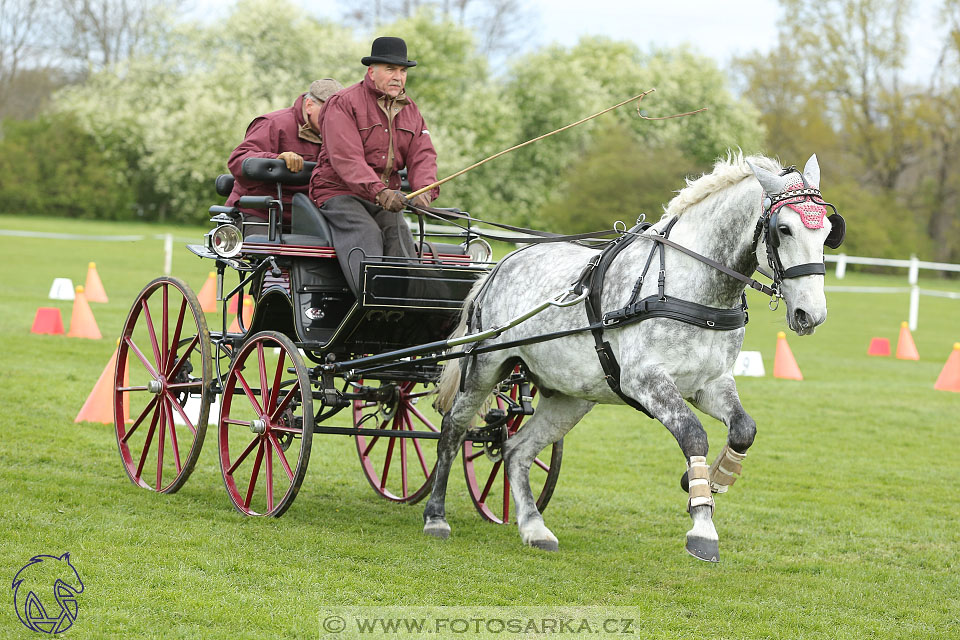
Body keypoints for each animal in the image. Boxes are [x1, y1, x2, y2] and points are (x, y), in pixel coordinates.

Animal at [424, 154, 836, 560]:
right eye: (784, 229)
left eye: (829, 230)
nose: (811, 315)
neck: (690, 286)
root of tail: (498, 268)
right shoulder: (645, 380)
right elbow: (693, 435)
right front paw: (702, 527)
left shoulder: (711, 383)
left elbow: (743, 429)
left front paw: (708, 481)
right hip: (484, 367)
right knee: (452, 431)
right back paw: (436, 517)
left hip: (570, 396)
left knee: (516, 450)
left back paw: (533, 527)